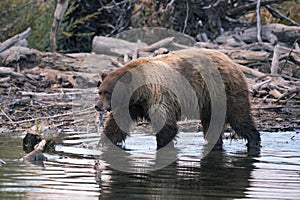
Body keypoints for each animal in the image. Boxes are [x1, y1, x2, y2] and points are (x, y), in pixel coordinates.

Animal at [96, 48, 260, 150]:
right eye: (100, 91)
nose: (97, 106)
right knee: (212, 125)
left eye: (108, 92)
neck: (138, 92)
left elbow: (166, 126)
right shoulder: (131, 105)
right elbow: (116, 125)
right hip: (210, 102)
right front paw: (102, 143)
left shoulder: (157, 96)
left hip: (224, 90)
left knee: (239, 117)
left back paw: (253, 141)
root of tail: (232, 62)